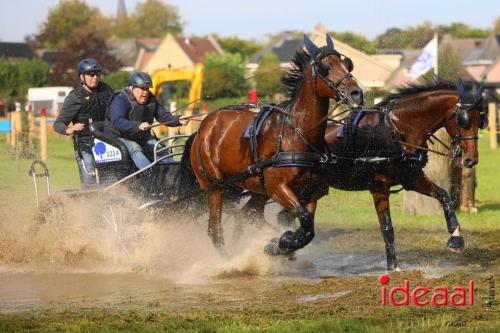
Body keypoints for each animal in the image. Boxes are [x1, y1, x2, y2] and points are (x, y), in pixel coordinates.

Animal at [188, 35, 364, 255]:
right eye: (325, 67)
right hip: (214, 187)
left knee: (249, 216)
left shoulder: (310, 190)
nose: (356, 93)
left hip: (255, 187)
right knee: (215, 229)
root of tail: (203, 127)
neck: (296, 132)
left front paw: (280, 244)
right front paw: (281, 243)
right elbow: (304, 220)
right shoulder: (278, 188)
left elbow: (307, 229)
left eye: (347, 64)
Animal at [304, 77, 484, 270]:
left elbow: (444, 196)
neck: (395, 132)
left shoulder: (412, 179)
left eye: (480, 119)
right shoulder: (379, 187)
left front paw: (456, 238)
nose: (471, 159)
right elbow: (387, 228)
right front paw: (394, 266)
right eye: (464, 120)